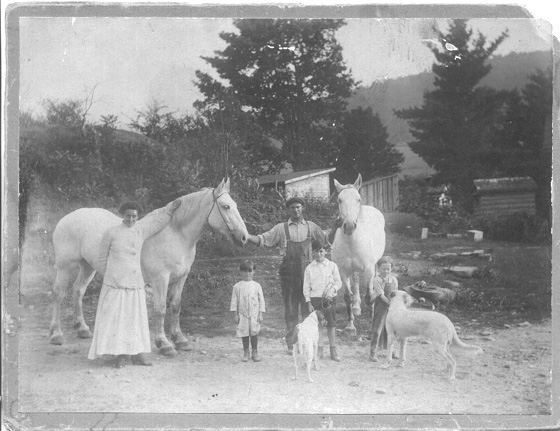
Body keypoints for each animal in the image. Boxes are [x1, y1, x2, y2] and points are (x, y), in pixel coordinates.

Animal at [49, 179, 248, 358]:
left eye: (235, 205)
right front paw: (164, 344)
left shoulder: (181, 278)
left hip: (88, 266)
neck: (176, 235)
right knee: (58, 294)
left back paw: (82, 329)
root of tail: (68, 217)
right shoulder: (160, 279)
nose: (244, 237)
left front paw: (180, 339)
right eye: (226, 206)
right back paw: (56, 334)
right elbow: (160, 309)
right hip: (65, 266)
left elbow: (176, 306)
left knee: (78, 290)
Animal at [332, 174, 384, 332]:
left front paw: (373, 321)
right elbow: (347, 296)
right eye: (339, 199)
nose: (349, 226)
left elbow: (369, 295)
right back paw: (356, 308)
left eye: (358, 199)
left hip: (375, 265)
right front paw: (350, 325)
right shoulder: (342, 271)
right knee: (355, 281)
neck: (352, 242)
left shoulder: (368, 269)